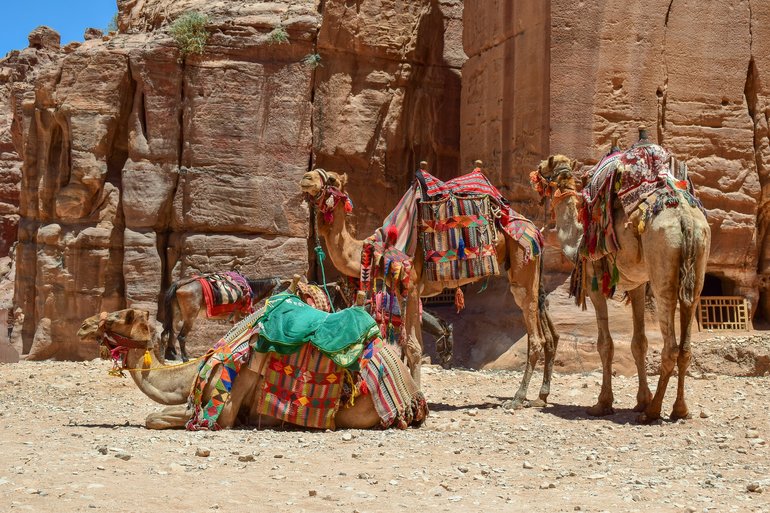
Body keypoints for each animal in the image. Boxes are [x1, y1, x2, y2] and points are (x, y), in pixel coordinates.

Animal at [296, 168, 556, 408]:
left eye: (331, 179)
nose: (306, 177)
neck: (380, 250)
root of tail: (535, 230)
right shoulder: (408, 293)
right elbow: (412, 346)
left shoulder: (410, 287)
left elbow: (412, 347)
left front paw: (418, 396)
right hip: (532, 274)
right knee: (548, 332)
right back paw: (540, 397)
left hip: (523, 265)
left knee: (535, 337)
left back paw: (517, 398)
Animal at [536, 143, 708, 420]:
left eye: (543, 170)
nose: (534, 173)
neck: (578, 237)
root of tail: (685, 219)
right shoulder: (637, 285)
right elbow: (639, 343)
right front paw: (641, 399)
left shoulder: (594, 281)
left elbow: (605, 344)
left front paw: (603, 403)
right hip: (698, 264)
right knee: (685, 345)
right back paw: (679, 409)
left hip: (662, 269)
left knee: (671, 345)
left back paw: (653, 412)